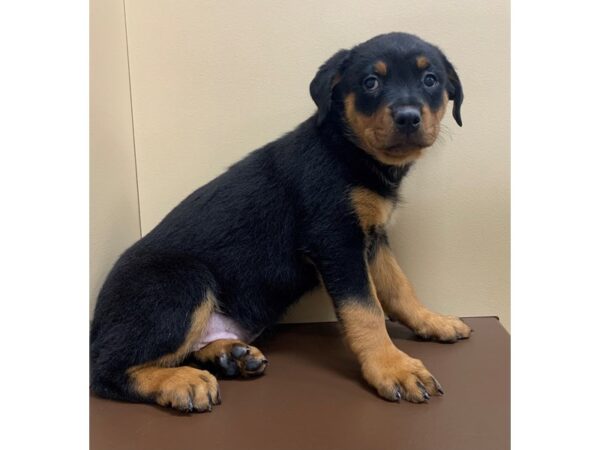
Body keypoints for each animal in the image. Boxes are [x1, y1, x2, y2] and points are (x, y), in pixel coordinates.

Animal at [91, 31, 472, 412]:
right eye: (370, 82)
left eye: (430, 80)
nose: (408, 117)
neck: (347, 151)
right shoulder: (336, 239)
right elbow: (366, 309)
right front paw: (393, 367)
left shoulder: (371, 238)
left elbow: (399, 287)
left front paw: (433, 321)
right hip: (183, 280)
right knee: (105, 369)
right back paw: (182, 381)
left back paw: (231, 356)